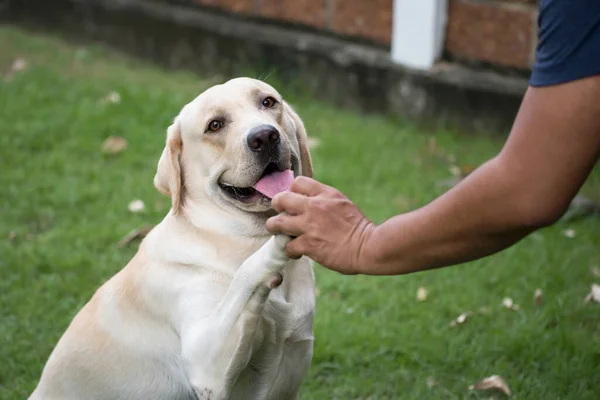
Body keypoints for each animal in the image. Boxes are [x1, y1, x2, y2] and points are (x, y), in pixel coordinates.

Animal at [29, 78, 316, 400]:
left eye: (268, 102)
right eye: (215, 125)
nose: (265, 136)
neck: (234, 236)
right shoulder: (208, 365)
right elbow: (245, 274)